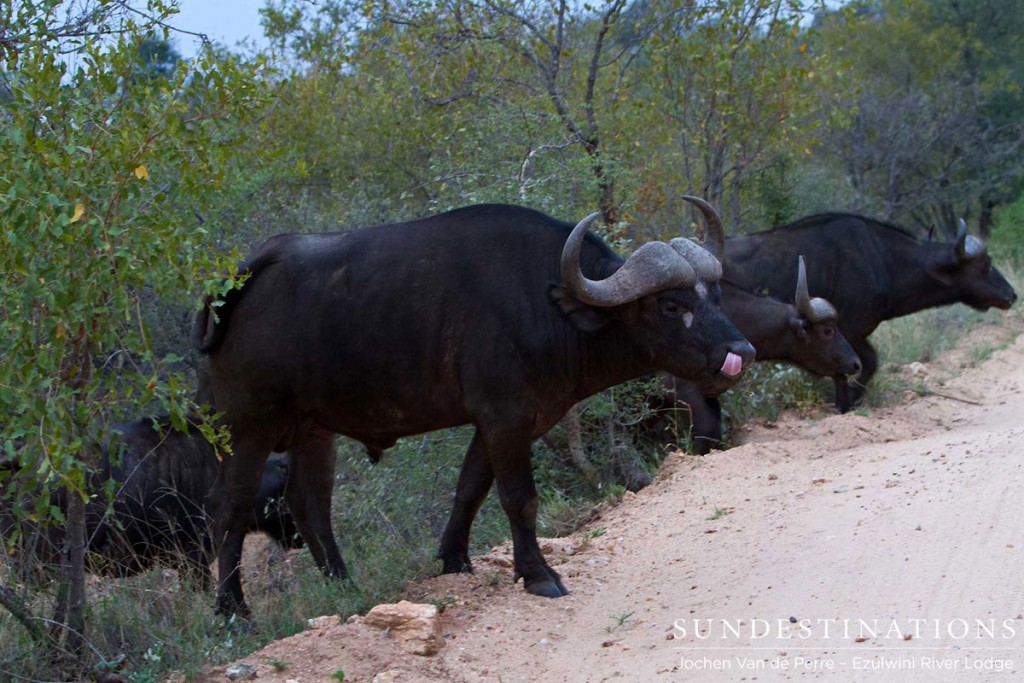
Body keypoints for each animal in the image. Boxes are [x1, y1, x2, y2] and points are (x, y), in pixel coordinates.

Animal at [195, 198, 757, 618]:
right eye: (672, 305)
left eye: (713, 294)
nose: (741, 353)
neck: (545, 304)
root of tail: (236, 282)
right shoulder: (505, 418)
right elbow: (519, 498)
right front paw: (538, 574)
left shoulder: (506, 422)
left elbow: (470, 489)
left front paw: (454, 561)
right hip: (248, 425)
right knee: (231, 506)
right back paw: (232, 609)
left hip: (314, 428)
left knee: (310, 505)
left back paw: (345, 587)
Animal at [720, 216, 1015, 411]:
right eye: (985, 264)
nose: (1012, 295)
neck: (882, 260)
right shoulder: (849, 331)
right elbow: (860, 365)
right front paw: (846, 403)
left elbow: (862, 364)